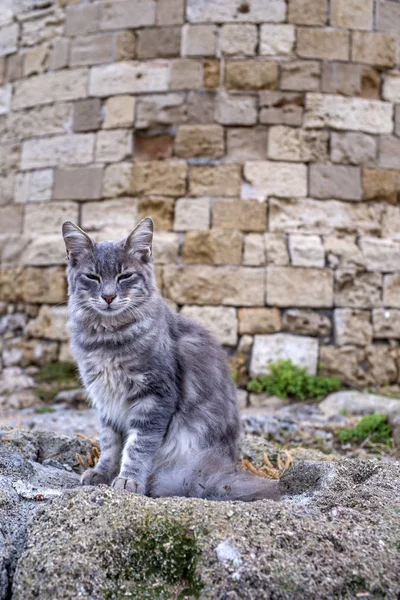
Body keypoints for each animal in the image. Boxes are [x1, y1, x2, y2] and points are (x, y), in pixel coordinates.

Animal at [63, 217, 282, 502]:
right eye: (93, 277)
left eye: (124, 276)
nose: (109, 296)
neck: (108, 340)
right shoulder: (106, 402)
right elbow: (110, 443)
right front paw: (101, 474)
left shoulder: (155, 397)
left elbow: (137, 446)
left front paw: (129, 481)